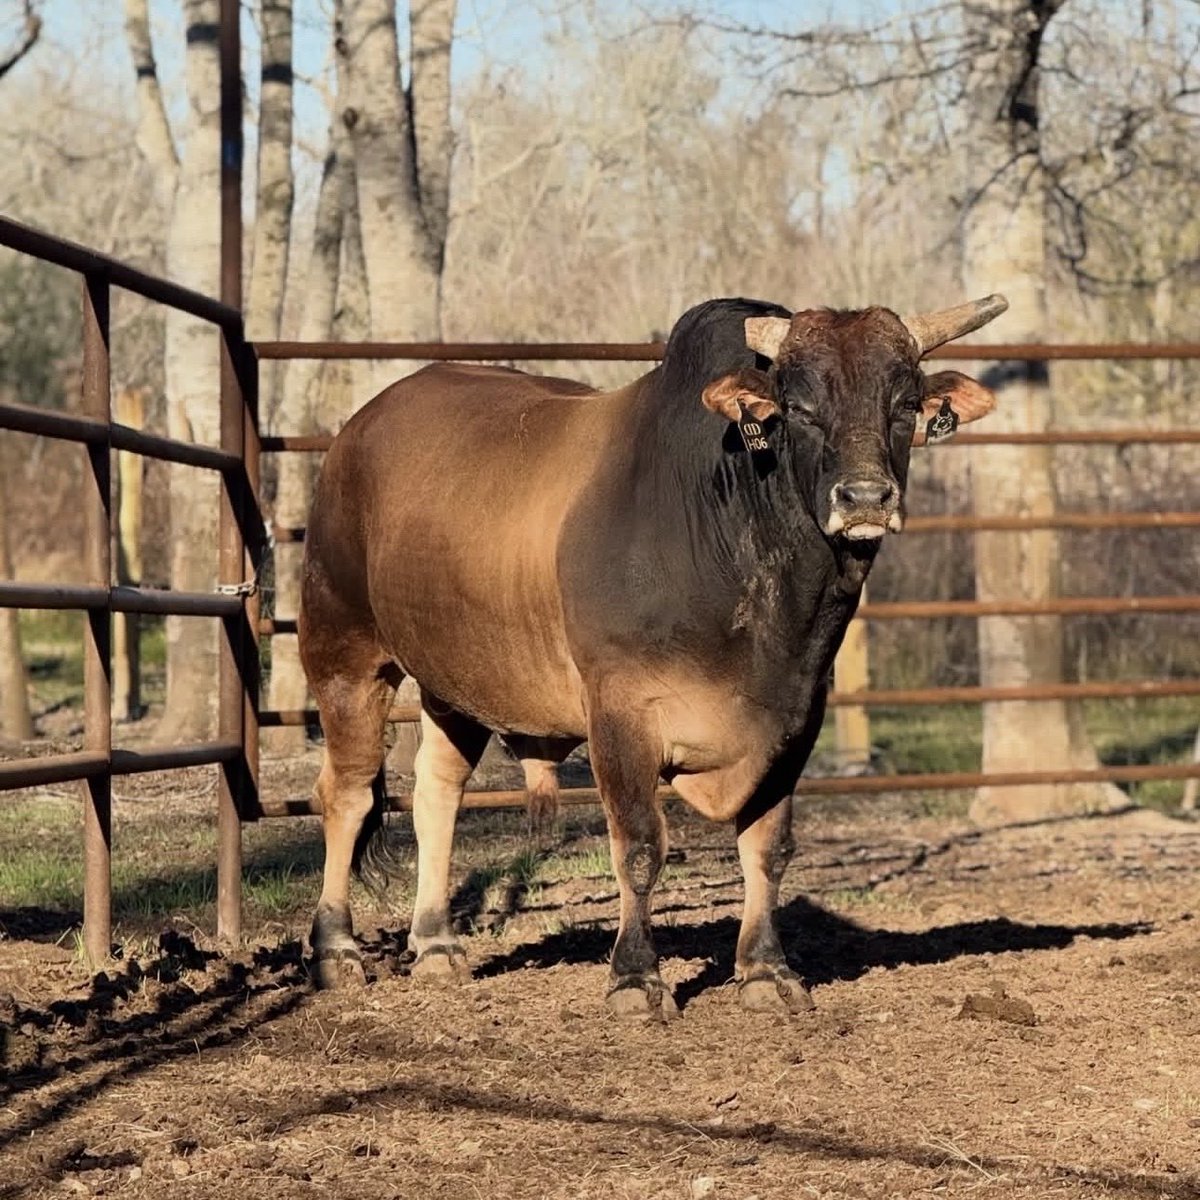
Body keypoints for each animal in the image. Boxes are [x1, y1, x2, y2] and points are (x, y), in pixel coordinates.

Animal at [298, 294, 1007, 1018]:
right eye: (799, 406)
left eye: (904, 402)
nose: (865, 498)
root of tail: (356, 430)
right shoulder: (620, 712)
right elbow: (639, 846)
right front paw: (636, 979)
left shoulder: (796, 720)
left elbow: (768, 847)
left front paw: (765, 969)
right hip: (343, 651)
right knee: (347, 795)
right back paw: (337, 950)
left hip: (455, 684)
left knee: (437, 791)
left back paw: (437, 944)